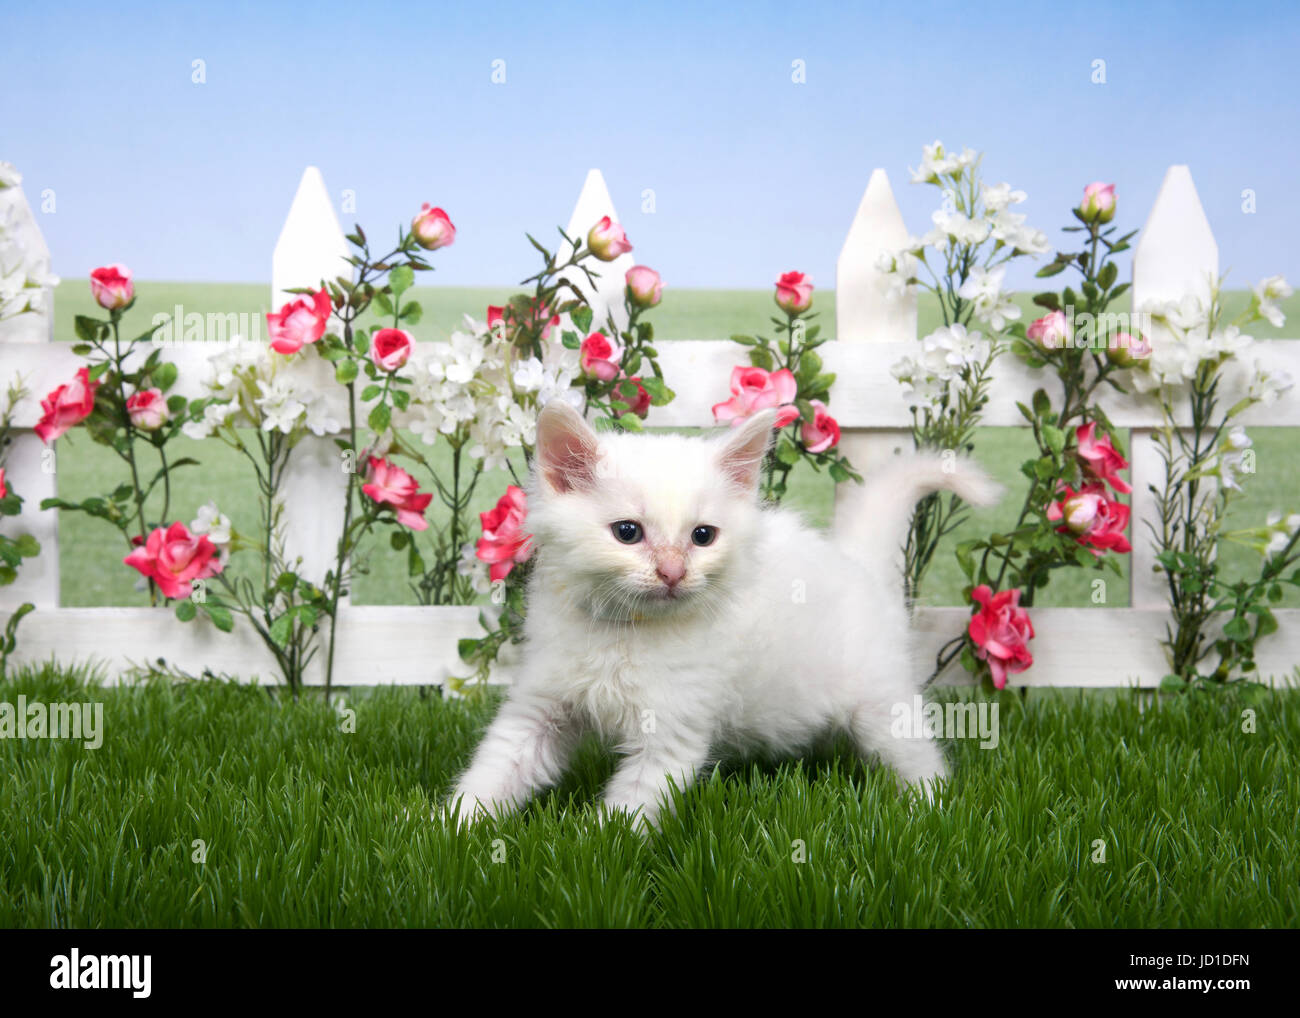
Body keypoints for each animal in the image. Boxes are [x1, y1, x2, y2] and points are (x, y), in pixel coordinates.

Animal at [447, 397, 993, 826]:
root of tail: (854, 562)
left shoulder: (671, 734)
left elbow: (626, 815)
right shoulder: (538, 706)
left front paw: (595, 852)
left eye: (702, 536)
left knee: (922, 762)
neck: (626, 635)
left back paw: (931, 811)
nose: (672, 572)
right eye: (627, 532)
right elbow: (495, 770)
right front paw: (448, 829)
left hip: (882, 705)